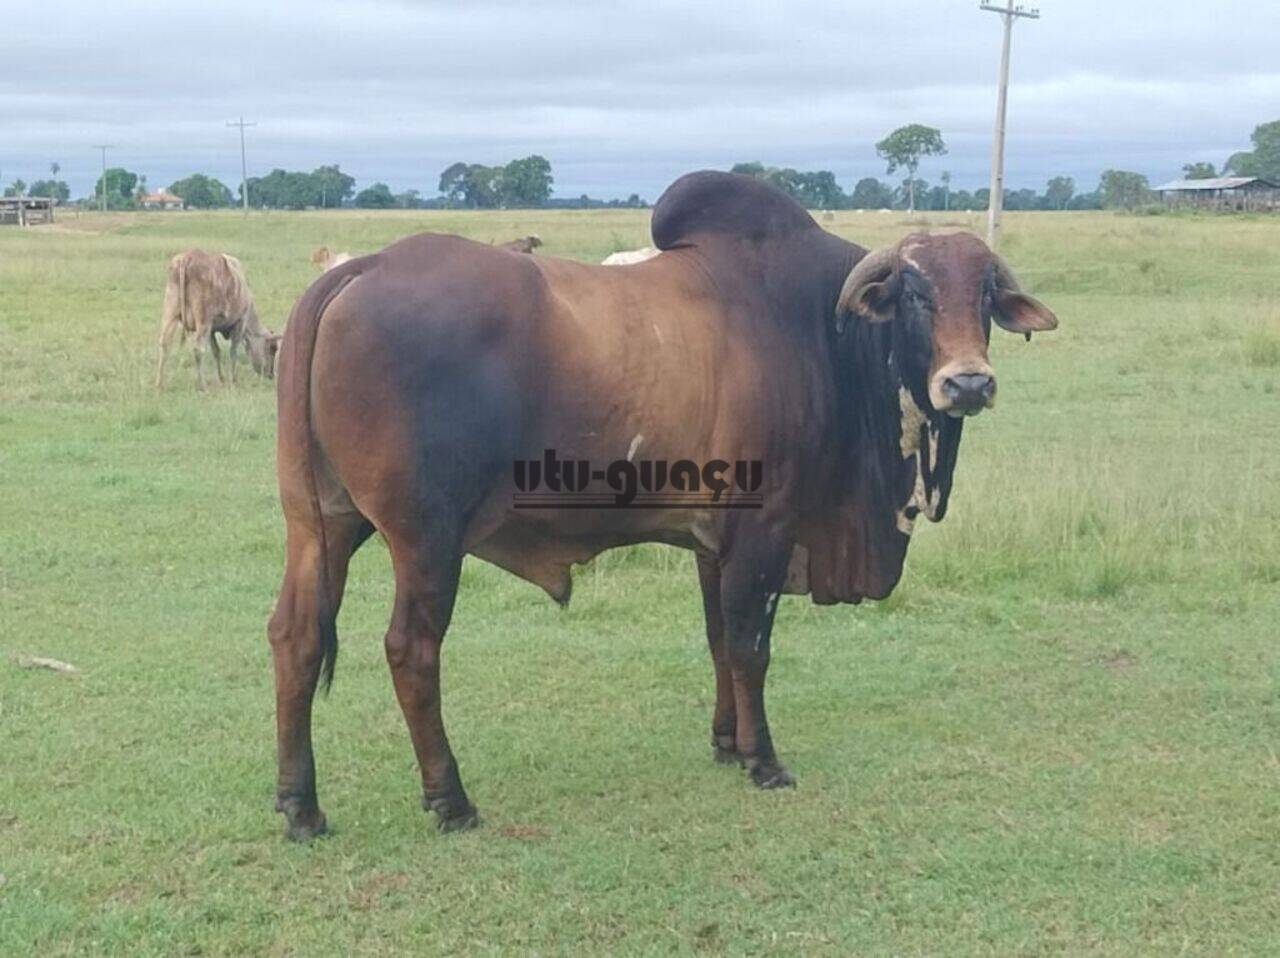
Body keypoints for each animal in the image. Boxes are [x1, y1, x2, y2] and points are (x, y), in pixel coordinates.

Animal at [155, 252, 280, 394]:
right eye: (272, 349)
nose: (271, 374)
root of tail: (188, 256)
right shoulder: (240, 322)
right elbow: (233, 351)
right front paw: (233, 379)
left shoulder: (211, 329)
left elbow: (216, 352)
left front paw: (221, 378)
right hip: (203, 320)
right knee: (198, 349)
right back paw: (202, 386)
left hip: (170, 313)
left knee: (165, 344)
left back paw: (160, 384)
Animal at [264, 171, 1054, 840]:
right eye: (916, 294)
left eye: (986, 296)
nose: (969, 383)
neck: (823, 331)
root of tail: (359, 268)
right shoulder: (768, 530)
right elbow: (752, 645)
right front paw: (764, 759)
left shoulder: (714, 541)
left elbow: (718, 642)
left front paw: (727, 742)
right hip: (425, 539)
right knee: (411, 650)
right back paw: (450, 799)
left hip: (320, 524)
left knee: (294, 635)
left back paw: (301, 805)